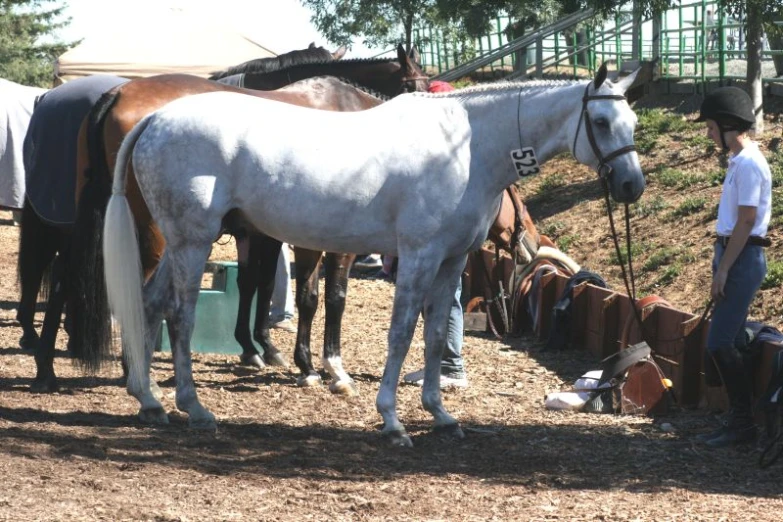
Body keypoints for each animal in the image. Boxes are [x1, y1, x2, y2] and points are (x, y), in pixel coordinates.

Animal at [67, 45, 432, 394]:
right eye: (417, 87)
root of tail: (120, 92)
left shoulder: (262, 234)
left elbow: (261, 284)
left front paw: (264, 350)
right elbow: (323, 296)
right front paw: (320, 367)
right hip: (151, 233)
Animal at [104, 63, 644, 444]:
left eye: (633, 121)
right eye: (600, 120)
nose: (631, 186)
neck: (464, 148)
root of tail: (154, 119)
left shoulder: (450, 263)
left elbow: (433, 338)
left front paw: (440, 414)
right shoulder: (419, 256)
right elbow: (402, 334)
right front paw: (392, 420)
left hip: (179, 244)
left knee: (150, 303)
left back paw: (149, 402)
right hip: (192, 241)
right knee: (180, 314)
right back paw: (193, 408)